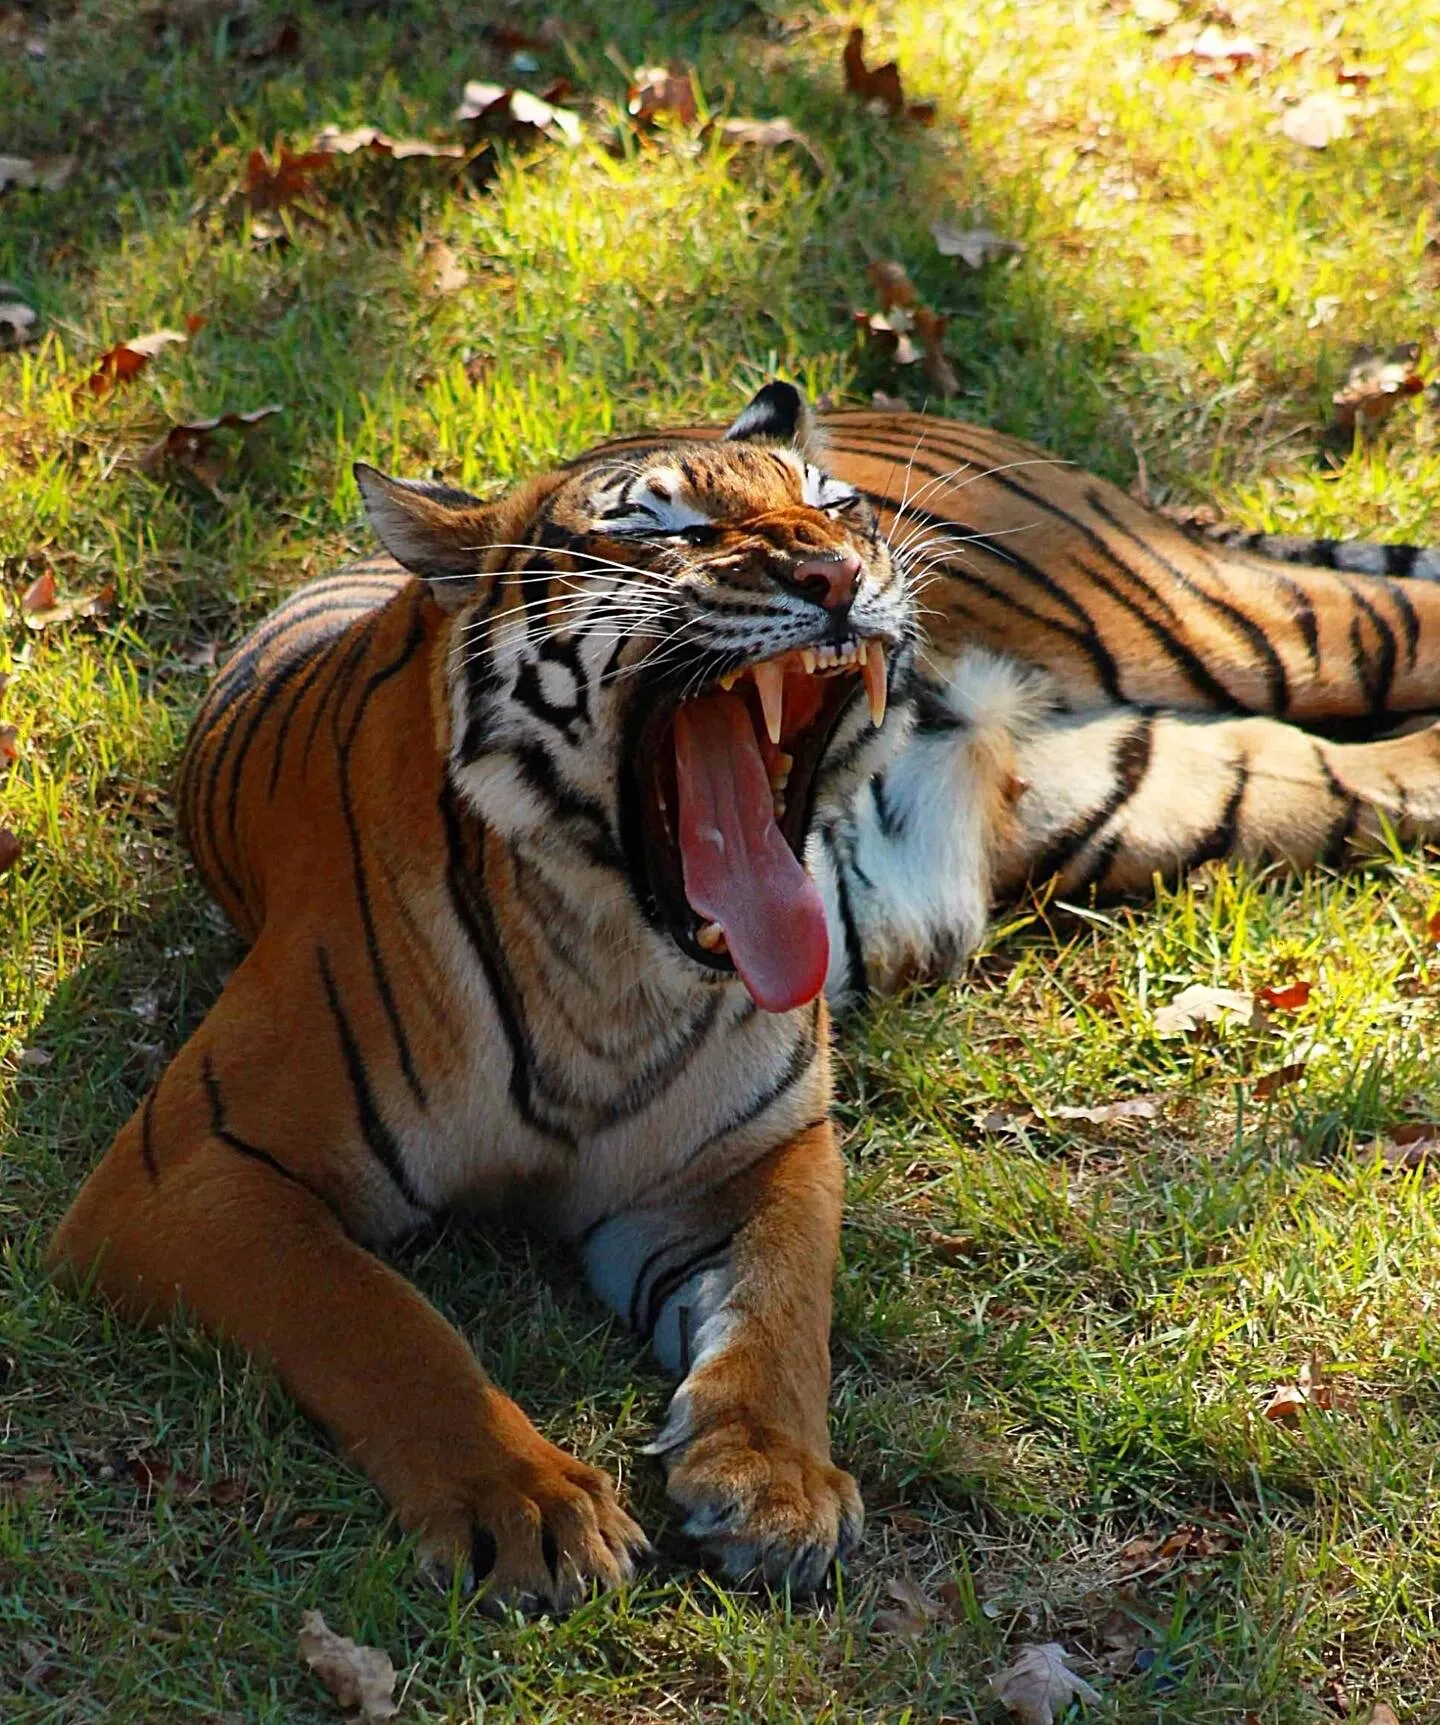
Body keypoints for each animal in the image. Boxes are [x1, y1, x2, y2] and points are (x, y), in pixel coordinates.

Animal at [47, 382, 1440, 1612]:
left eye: (829, 506)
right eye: (660, 527)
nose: (838, 573)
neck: (613, 957)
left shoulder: (760, 1149)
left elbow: (780, 1308)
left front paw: (776, 1487)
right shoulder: (192, 1172)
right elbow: (383, 1322)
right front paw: (526, 1508)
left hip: (1227, 629)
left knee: (1394, 618)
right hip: (1176, 788)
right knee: (1389, 759)